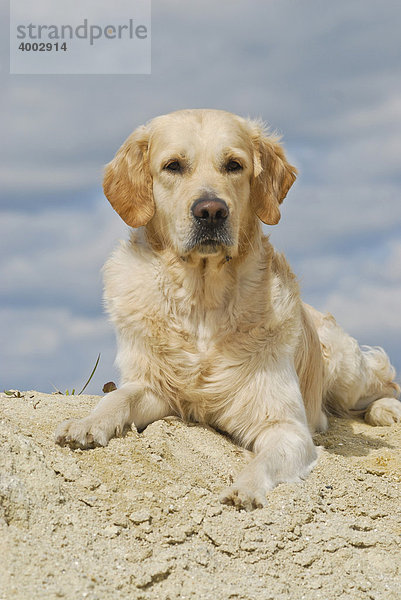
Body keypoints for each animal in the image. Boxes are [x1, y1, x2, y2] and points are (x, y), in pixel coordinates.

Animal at [54, 109, 400, 510]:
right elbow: (119, 396)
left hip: (345, 369)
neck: (203, 304)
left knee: (381, 383)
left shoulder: (286, 425)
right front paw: (85, 424)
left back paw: (386, 410)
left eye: (234, 165)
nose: (211, 211)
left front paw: (245, 489)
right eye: (173, 166)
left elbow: (266, 459)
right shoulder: (157, 389)